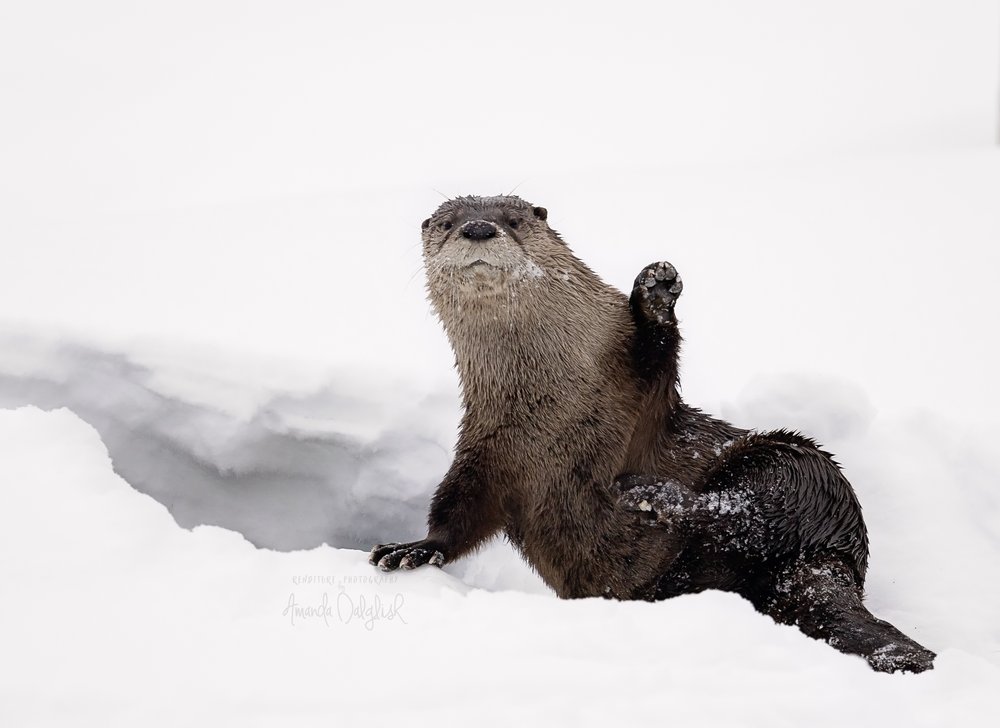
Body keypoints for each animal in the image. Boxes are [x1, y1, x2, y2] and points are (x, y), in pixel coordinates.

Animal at [370, 193, 936, 672]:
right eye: (447, 224)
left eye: (515, 220)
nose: (479, 228)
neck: (549, 406)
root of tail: (834, 554)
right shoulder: (486, 447)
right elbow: (457, 510)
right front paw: (409, 550)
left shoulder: (634, 400)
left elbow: (658, 363)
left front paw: (656, 293)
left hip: (799, 467)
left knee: (737, 506)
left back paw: (649, 493)